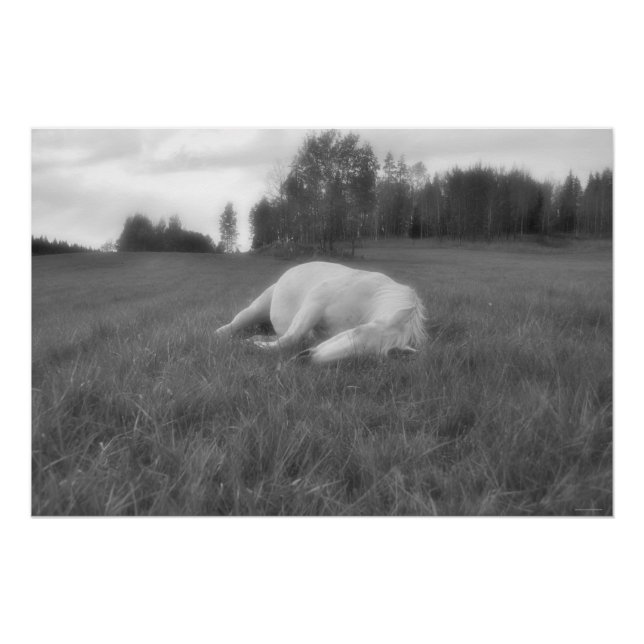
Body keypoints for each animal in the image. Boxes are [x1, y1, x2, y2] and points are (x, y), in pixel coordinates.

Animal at [215, 261, 427, 364]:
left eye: (365, 358)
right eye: (357, 331)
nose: (306, 358)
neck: (371, 295)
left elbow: (293, 338)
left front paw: (255, 343)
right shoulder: (315, 303)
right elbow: (291, 338)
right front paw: (252, 346)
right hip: (259, 306)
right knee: (237, 321)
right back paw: (221, 335)